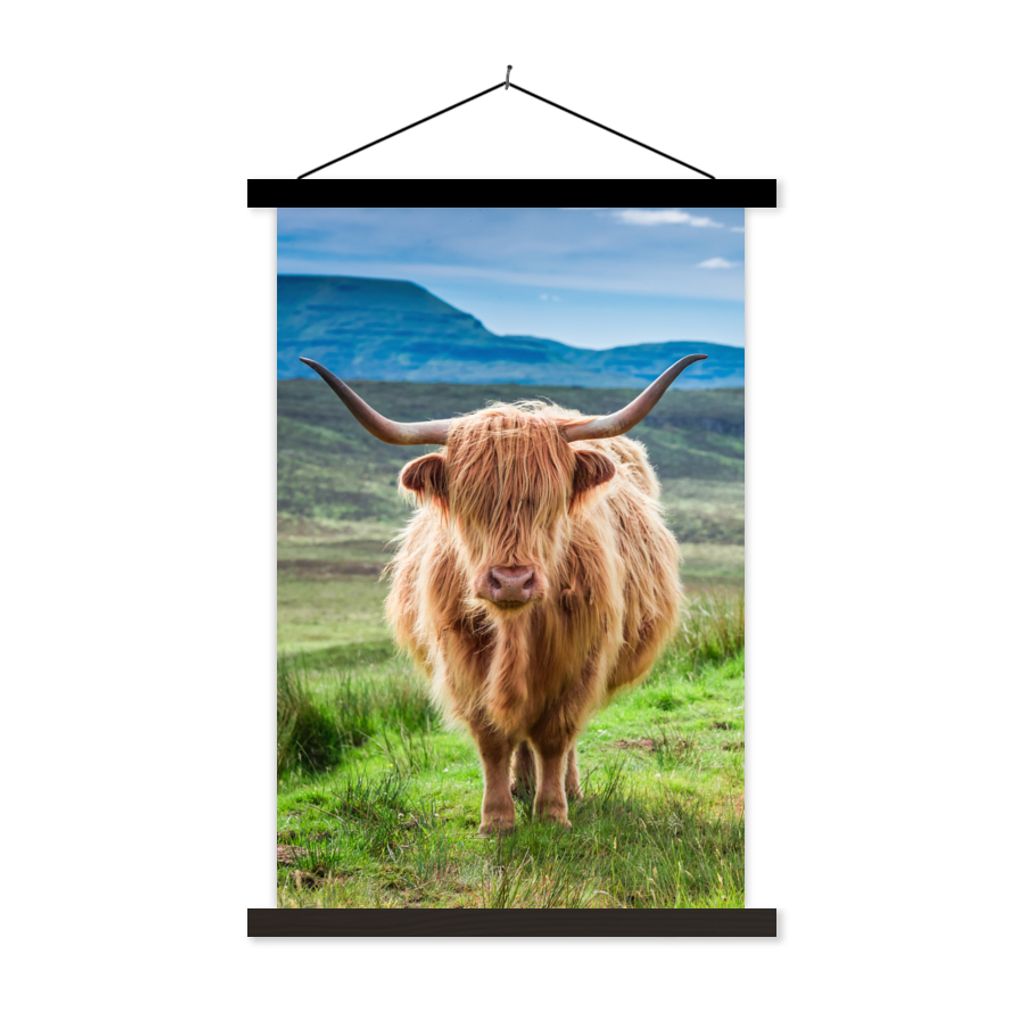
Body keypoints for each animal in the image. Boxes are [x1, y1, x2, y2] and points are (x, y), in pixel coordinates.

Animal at [300, 354, 705, 833]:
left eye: (549, 501)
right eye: (470, 502)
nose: (512, 580)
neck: (516, 628)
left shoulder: (580, 660)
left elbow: (555, 736)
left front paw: (552, 813)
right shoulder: (463, 661)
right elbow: (493, 738)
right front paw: (497, 818)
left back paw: (566, 789)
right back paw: (521, 784)